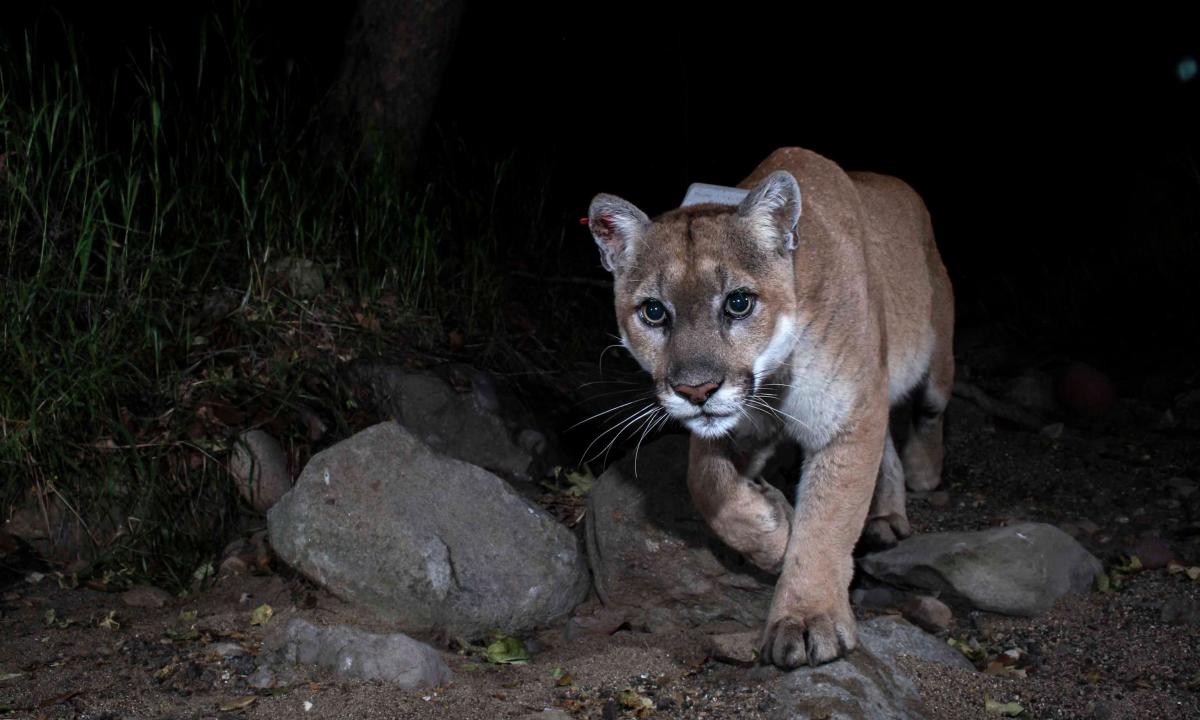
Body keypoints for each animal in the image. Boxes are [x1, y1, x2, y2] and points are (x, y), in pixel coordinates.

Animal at [585, 147, 950, 667]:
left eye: (738, 303)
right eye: (653, 311)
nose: (696, 390)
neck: (774, 377)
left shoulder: (848, 418)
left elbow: (828, 522)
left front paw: (807, 617)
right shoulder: (739, 426)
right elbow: (706, 484)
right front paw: (773, 533)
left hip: (934, 354)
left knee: (929, 411)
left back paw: (922, 472)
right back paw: (884, 517)